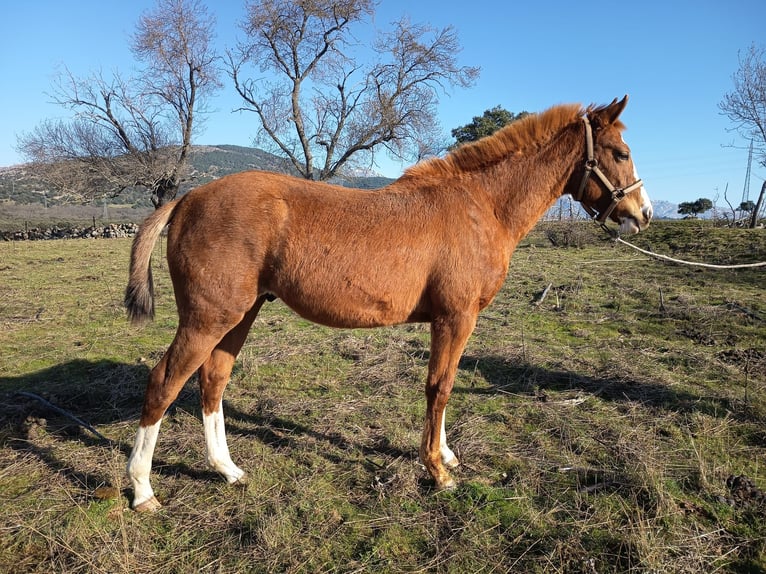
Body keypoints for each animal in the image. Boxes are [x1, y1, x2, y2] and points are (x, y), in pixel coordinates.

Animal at [125, 96, 652, 511]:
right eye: (620, 153)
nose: (643, 213)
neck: (479, 205)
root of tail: (187, 198)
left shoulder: (453, 322)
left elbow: (446, 386)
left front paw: (446, 454)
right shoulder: (455, 319)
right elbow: (440, 387)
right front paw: (438, 471)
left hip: (239, 316)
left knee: (212, 383)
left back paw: (227, 470)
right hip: (207, 319)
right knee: (164, 383)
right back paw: (142, 490)